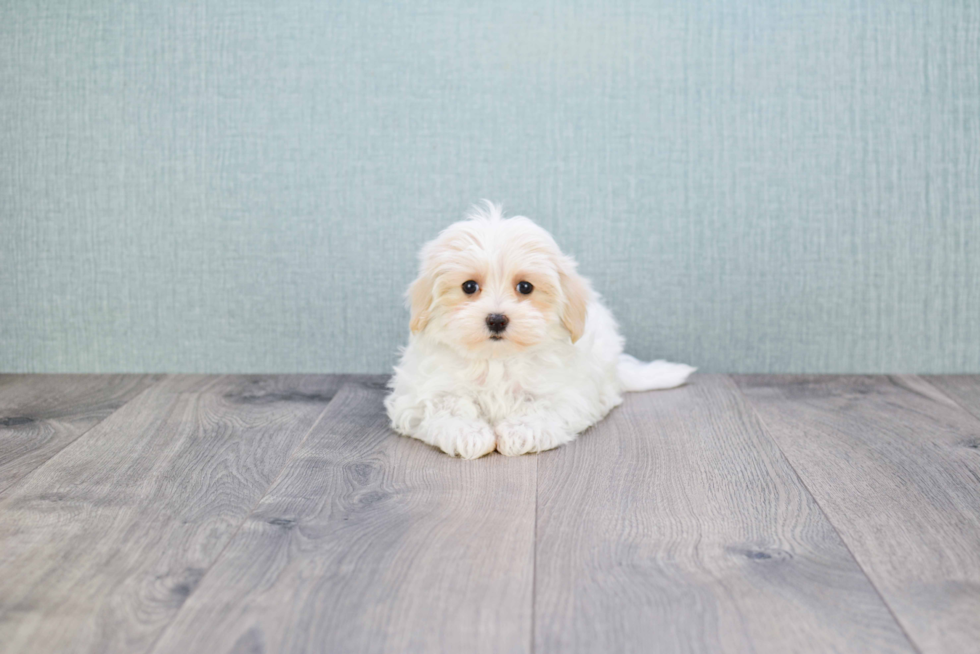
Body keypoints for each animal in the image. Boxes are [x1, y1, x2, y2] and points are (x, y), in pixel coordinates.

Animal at [386, 202, 692, 458]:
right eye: (469, 286)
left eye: (525, 287)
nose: (496, 319)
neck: (496, 360)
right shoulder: (422, 392)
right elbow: (445, 406)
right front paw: (468, 433)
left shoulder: (566, 392)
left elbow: (542, 408)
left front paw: (519, 432)